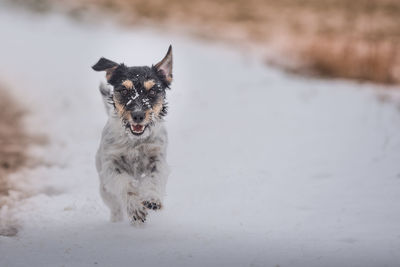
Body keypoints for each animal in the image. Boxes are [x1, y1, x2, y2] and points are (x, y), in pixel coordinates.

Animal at [92, 46, 173, 224]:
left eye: (153, 91)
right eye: (123, 90)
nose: (138, 115)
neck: (135, 141)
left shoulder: (158, 158)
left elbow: (154, 177)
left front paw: (152, 199)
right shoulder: (111, 165)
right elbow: (125, 184)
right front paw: (135, 208)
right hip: (105, 191)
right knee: (115, 207)